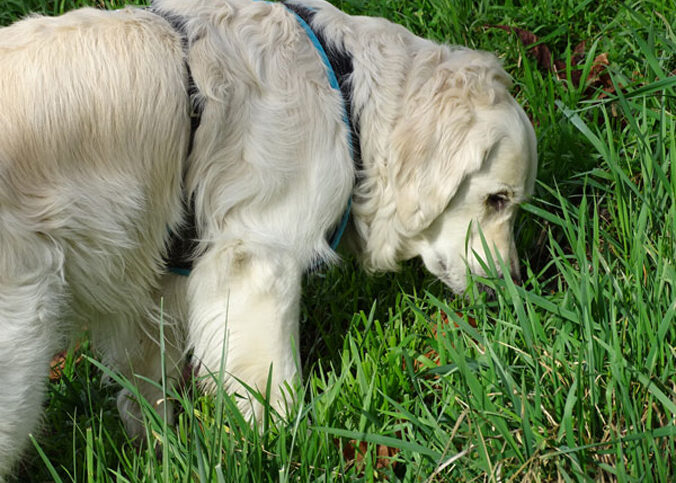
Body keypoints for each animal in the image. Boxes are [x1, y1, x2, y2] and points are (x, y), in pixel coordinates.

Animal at [1, 0, 540, 476]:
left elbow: (148, 384)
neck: (344, 90)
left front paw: (160, 449)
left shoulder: (154, 287)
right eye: (496, 199)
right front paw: (285, 450)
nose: (512, 287)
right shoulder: (258, 259)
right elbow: (272, 386)